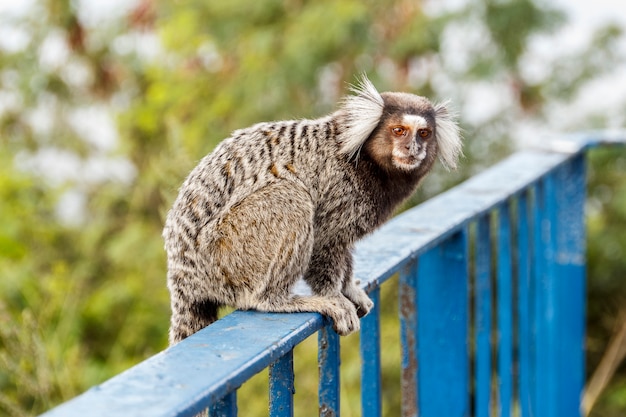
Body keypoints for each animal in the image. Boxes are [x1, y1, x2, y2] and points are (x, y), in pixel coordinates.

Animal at [163, 75, 460, 344]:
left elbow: (343, 248)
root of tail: (182, 273)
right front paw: (333, 295)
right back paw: (277, 300)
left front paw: (349, 288)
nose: (413, 148)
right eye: (399, 130)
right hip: (222, 254)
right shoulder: (337, 187)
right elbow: (324, 243)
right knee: (290, 196)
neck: (361, 159)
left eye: (424, 133)